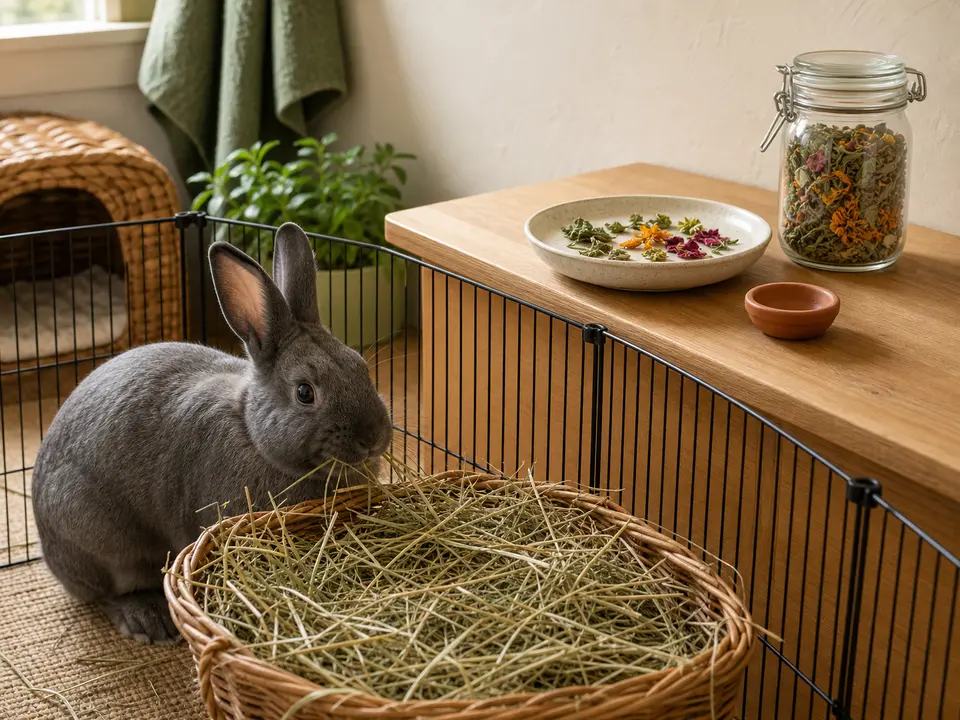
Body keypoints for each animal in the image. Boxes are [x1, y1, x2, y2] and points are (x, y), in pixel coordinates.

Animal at [31, 222, 393, 644]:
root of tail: (48, 549)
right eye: (305, 392)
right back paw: (149, 620)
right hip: (106, 545)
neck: (253, 432)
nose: (374, 438)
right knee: (105, 594)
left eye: (360, 366)